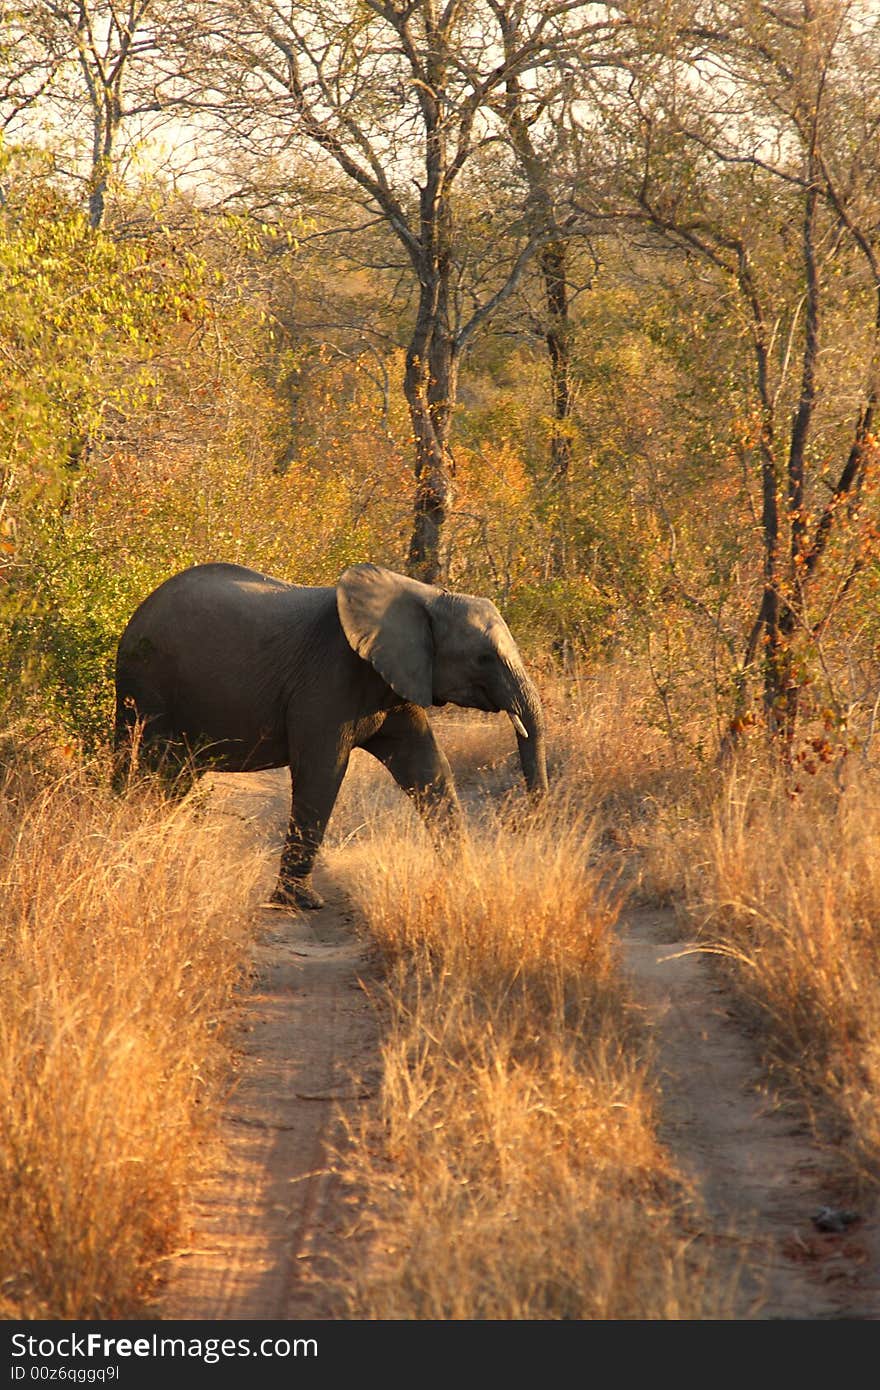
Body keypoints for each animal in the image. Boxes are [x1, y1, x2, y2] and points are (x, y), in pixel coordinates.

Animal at [113, 558, 544, 906]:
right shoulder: (328, 677)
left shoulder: (395, 682)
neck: (426, 596)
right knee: (149, 765)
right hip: (148, 682)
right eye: (484, 658)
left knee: (174, 776)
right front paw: (302, 902)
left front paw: (463, 880)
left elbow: (427, 768)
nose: (530, 825)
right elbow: (323, 772)